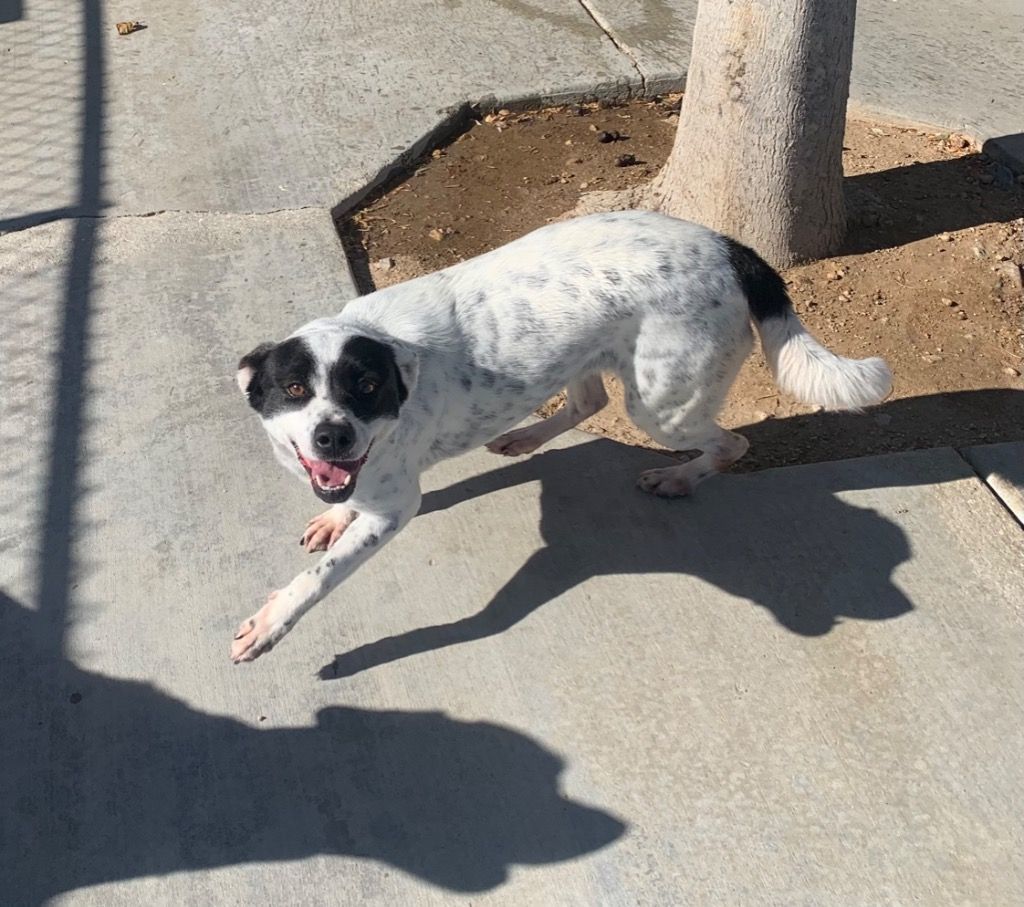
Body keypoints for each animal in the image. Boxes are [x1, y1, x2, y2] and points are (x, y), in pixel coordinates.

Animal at [230, 210, 888, 663]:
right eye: (293, 389)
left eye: (365, 387)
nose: (332, 437)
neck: (388, 347)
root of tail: (730, 247)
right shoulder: (357, 480)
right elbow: (341, 504)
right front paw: (333, 517)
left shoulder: (396, 507)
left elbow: (320, 577)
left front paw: (270, 623)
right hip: (594, 361)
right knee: (591, 402)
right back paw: (525, 440)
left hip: (661, 408)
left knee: (732, 445)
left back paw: (678, 478)